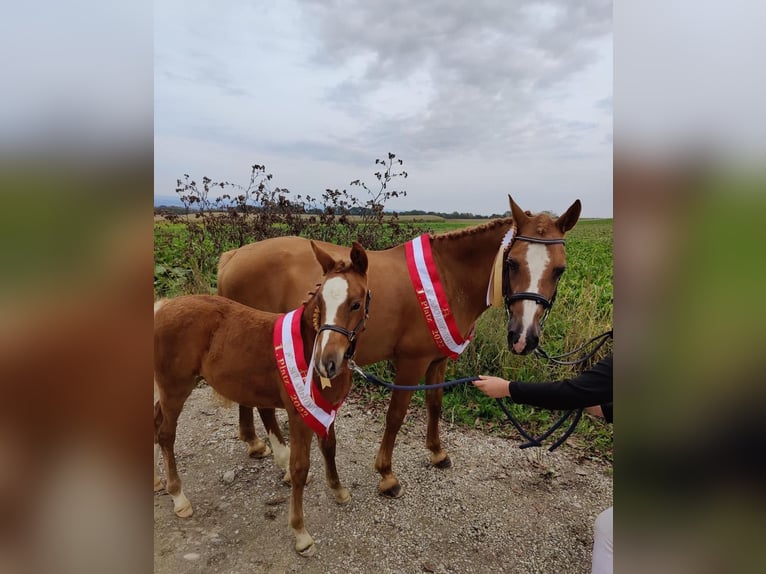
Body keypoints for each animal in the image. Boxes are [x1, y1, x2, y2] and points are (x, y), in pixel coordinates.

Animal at [154, 241, 370, 556]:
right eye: (320, 301)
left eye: (356, 303)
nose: (326, 363)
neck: (308, 346)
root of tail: (162, 308)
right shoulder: (298, 413)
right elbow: (299, 466)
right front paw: (300, 533)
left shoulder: (327, 408)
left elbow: (329, 447)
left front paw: (339, 490)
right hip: (175, 387)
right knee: (166, 434)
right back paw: (179, 497)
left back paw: (156, 481)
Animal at [218, 197, 584, 500]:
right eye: (512, 263)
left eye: (560, 269)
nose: (523, 337)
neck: (447, 276)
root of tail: (233, 256)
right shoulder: (411, 361)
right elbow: (395, 415)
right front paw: (387, 475)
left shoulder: (438, 359)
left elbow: (435, 404)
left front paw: (437, 452)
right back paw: (280, 458)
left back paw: (255, 443)